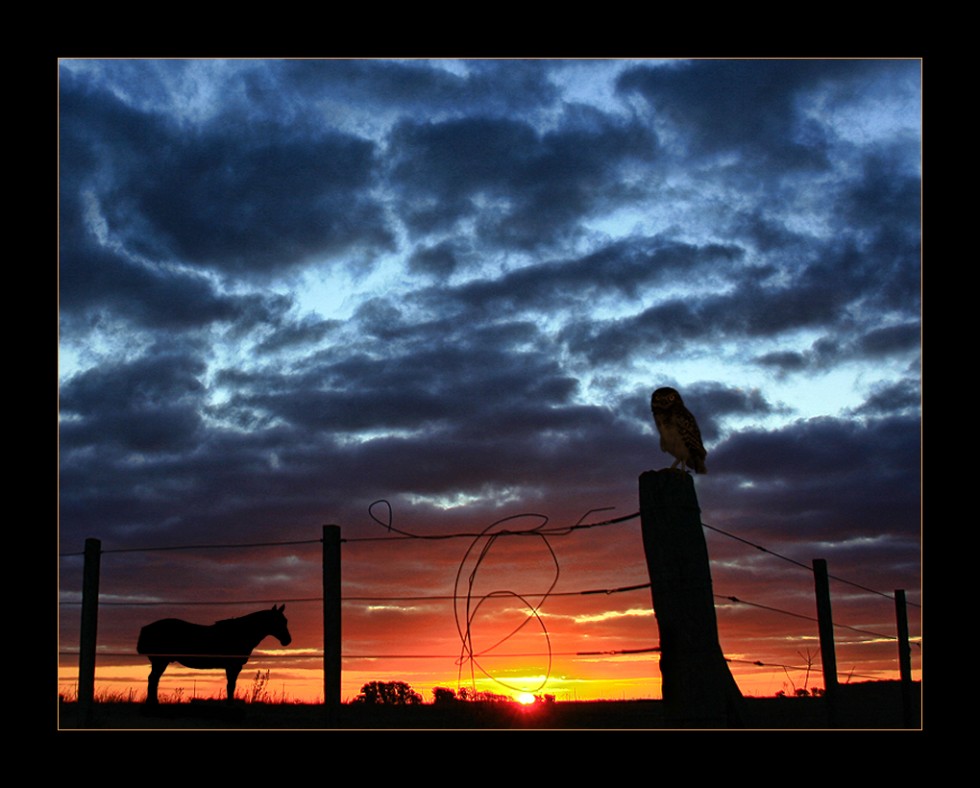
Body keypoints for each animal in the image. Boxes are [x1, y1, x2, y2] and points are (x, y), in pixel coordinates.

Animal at [137, 604, 290, 700]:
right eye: (278, 621)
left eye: (285, 621)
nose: (287, 640)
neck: (240, 632)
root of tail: (146, 628)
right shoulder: (233, 666)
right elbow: (231, 686)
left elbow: (231, 686)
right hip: (160, 661)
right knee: (153, 680)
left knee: (154, 680)